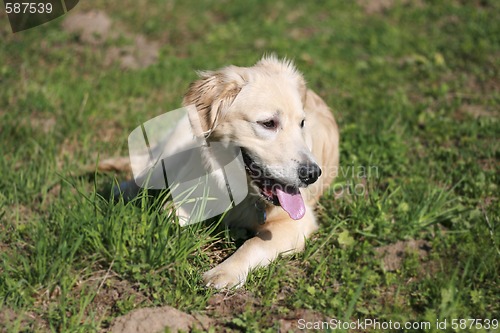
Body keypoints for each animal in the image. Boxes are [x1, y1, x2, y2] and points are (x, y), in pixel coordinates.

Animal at [180, 55, 340, 286]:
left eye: (302, 123)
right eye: (268, 123)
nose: (312, 175)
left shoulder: (296, 223)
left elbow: (253, 244)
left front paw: (224, 271)